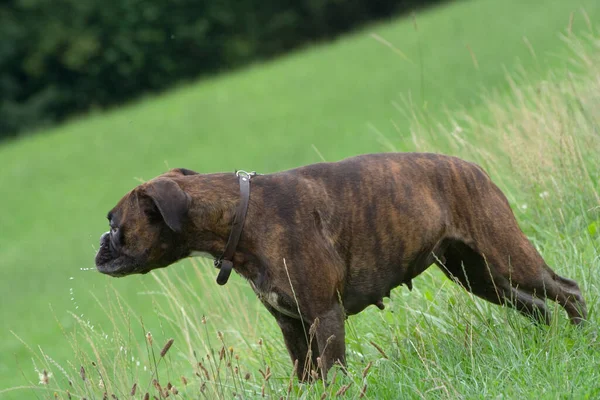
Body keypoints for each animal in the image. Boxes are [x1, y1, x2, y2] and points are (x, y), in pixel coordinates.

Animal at [96, 153, 588, 382]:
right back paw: (546, 345)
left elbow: (332, 374)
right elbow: (307, 377)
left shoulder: (324, 317)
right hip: (480, 275)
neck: (242, 215)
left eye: (115, 225)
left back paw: (582, 338)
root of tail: (472, 167)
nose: (100, 245)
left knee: (566, 290)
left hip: (507, 258)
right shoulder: (294, 328)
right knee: (536, 306)